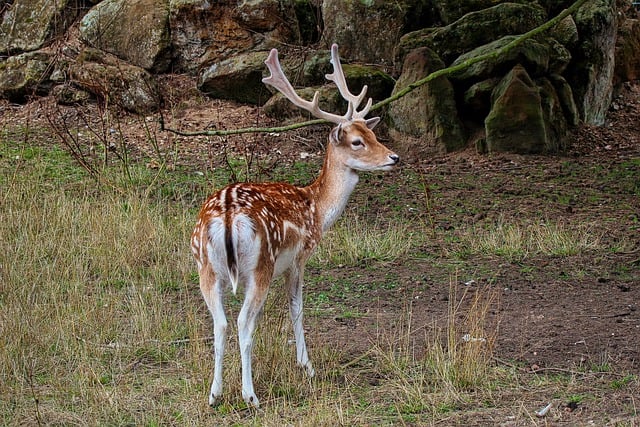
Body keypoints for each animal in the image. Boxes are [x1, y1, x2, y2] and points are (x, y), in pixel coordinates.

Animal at [191, 44, 400, 412]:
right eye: (357, 142)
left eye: (373, 133)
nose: (394, 158)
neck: (315, 207)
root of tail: (227, 217)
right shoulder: (300, 256)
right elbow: (297, 308)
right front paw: (307, 366)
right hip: (260, 264)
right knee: (242, 322)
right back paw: (251, 396)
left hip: (206, 267)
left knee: (221, 323)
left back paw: (215, 395)